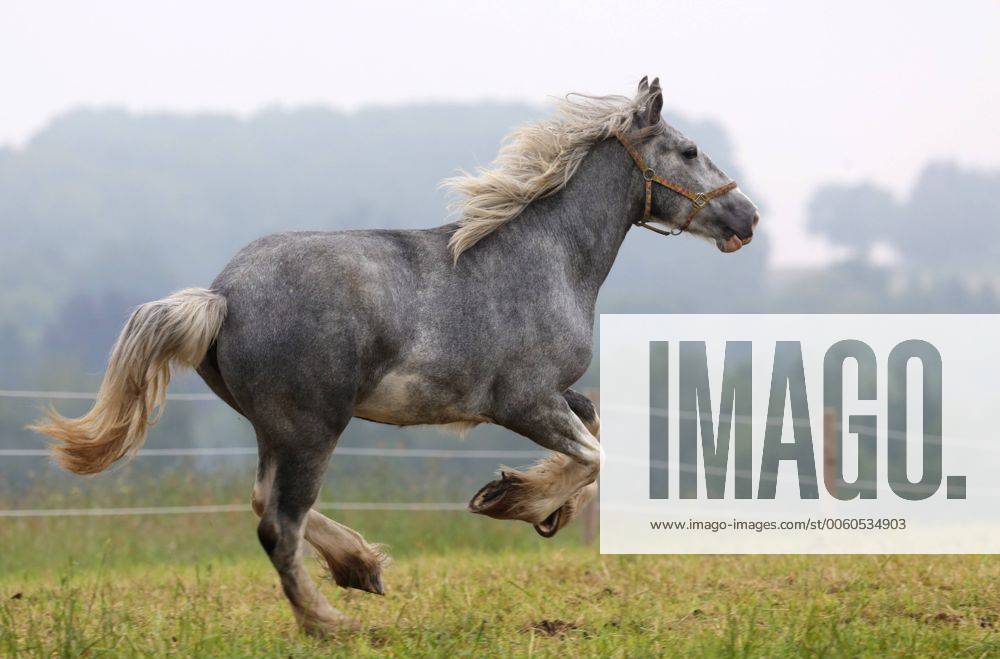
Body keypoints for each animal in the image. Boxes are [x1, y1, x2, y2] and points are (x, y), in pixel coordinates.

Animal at [31, 76, 759, 635]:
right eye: (689, 149)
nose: (747, 218)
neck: (546, 257)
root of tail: (219, 296)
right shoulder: (522, 401)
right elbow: (597, 455)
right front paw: (512, 500)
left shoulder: (556, 395)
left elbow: (594, 428)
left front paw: (537, 503)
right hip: (311, 428)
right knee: (278, 523)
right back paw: (329, 620)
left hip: (277, 429)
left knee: (264, 502)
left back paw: (361, 567)